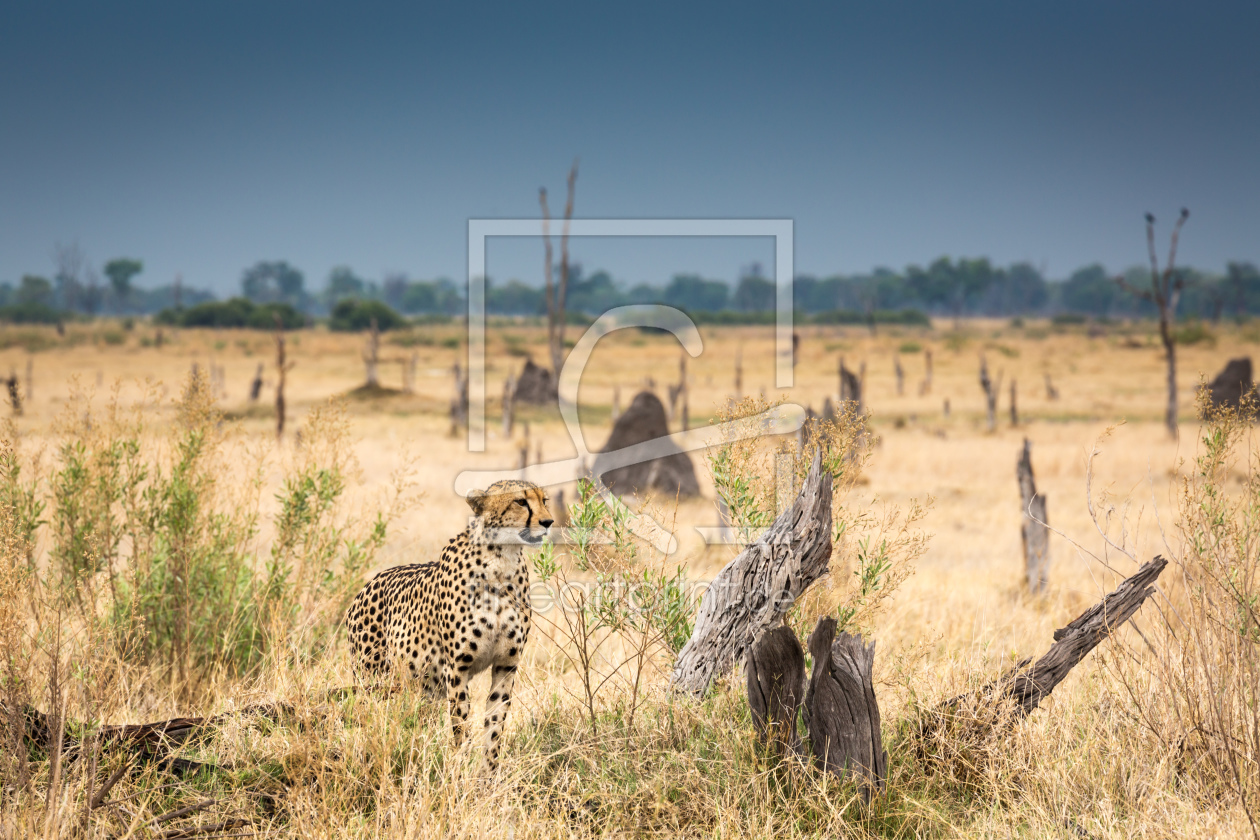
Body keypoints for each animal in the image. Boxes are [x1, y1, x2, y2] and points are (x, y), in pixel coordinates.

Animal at [350, 483, 556, 770]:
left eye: (544, 500)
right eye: (520, 502)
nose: (548, 522)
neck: (503, 561)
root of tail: (368, 583)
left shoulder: (506, 665)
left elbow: (495, 725)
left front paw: (488, 775)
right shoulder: (458, 667)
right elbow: (461, 725)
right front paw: (460, 770)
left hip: (420, 688)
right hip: (372, 678)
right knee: (367, 718)